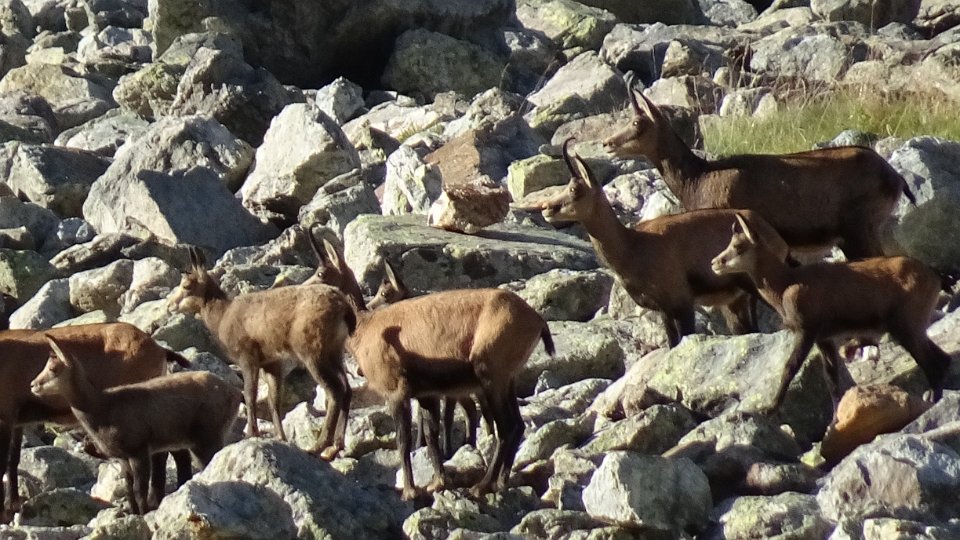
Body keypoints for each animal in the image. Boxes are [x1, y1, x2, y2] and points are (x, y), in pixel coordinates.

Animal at [0, 322, 189, 522]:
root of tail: (159, 349)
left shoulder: (4, 418)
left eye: (52, 369)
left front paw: (4, 512)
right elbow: (12, 461)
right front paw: (12, 505)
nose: (33, 384)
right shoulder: (16, 422)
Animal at [30, 334, 241, 514]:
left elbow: (140, 489)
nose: (33, 385)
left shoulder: (139, 452)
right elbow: (129, 489)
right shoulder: (123, 458)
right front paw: (133, 513)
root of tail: (233, 393)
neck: (101, 406)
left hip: (206, 438)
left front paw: (144, 512)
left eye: (53, 369)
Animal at [166, 247, 356, 460]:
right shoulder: (272, 364)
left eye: (186, 285)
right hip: (335, 352)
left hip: (314, 354)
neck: (223, 315)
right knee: (347, 389)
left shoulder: (248, 357)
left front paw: (251, 433)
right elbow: (274, 401)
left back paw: (318, 446)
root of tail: (344, 308)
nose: (169, 306)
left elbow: (250, 394)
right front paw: (280, 437)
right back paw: (336, 446)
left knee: (335, 391)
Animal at [523, 139, 789, 348]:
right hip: (737, 300)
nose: (547, 209)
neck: (633, 245)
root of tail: (765, 227)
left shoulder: (682, 305)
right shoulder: (665, 311)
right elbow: (671, 343)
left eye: (575, 189)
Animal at [711, 212, 952, 413]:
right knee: (942, 359)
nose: (715, 263)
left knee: (932, 363)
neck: (785, 284)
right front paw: (836, 418)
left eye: (738, 246)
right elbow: (832, 380)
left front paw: (769, 409)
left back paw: (934, 400)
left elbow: (790, 367)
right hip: (913, 328)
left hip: (906, 328)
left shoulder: (806, 331)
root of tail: (935, 275)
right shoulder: (824, 339)